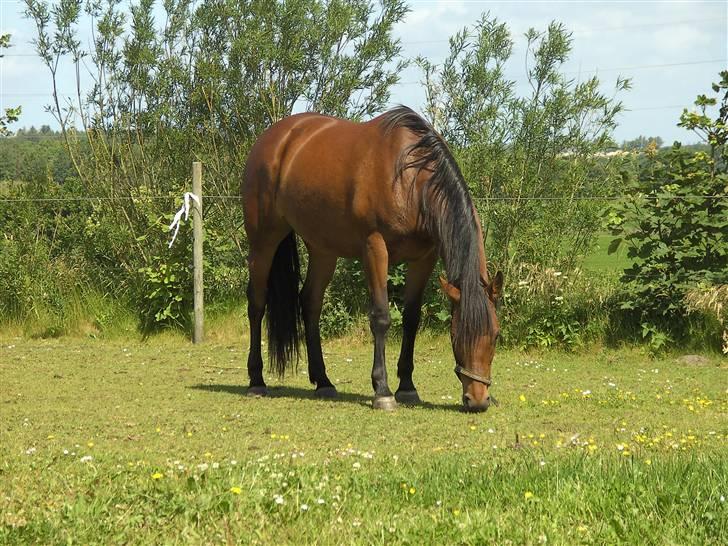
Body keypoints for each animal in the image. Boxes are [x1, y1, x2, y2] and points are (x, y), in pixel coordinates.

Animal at [242, 105, 504, 408]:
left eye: (495, 334)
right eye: (456, 334)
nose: (478, 400)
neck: (409, 179)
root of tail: (273, 139)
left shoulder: (423, 258)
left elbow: (411, 319)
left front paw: (407, 387)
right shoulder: (375, 248)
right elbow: (381, 317)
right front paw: (383, 391)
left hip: (323, 249)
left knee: (310, 302)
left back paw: (323, 381)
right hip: (263, 241)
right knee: (257, 303)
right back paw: (256, 381)